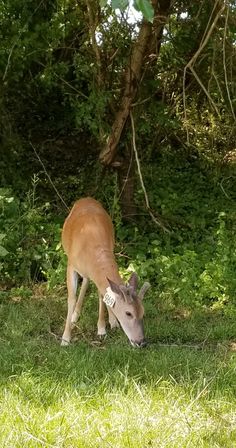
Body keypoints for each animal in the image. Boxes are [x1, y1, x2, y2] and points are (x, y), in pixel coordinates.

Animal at [60, 198, 149, 348]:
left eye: (143, 311)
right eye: (128, 313)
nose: (141, 342)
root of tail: (86, 198)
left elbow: (102, 296)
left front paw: (102, 329)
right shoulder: (71, 265)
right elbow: (71, 298)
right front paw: (65, 338)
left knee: (89, 282)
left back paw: (112, 321)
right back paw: (75, 315)